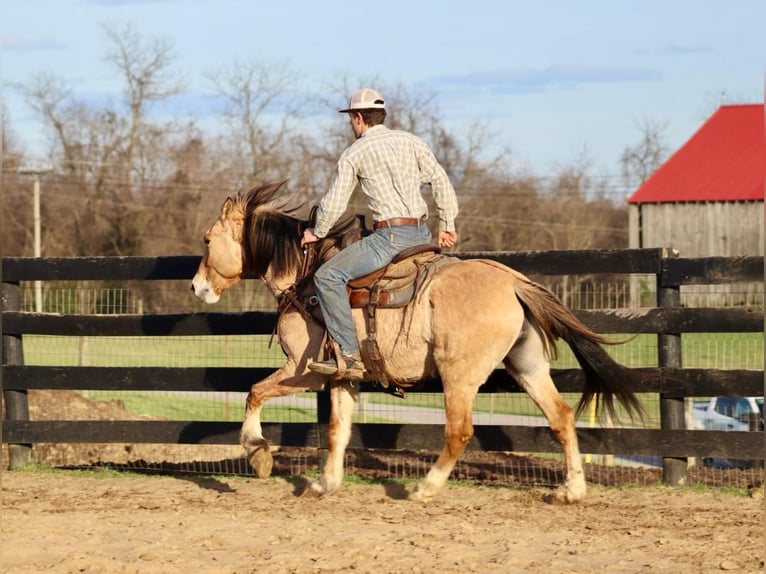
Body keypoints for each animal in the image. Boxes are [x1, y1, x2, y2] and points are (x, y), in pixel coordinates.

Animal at [191, 180, 643, 503]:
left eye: (208, 240)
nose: (196, 287)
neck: (306, 279)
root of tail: (514, 282)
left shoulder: (304, 371)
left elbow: (254, 392)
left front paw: (259, 454)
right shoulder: (343, 377)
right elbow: (338, 430)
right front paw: (325, 484)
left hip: (459, 376)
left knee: (459, 431)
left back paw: (425, 488)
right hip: (527, 367)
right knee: (561, 417)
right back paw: (571, 491)